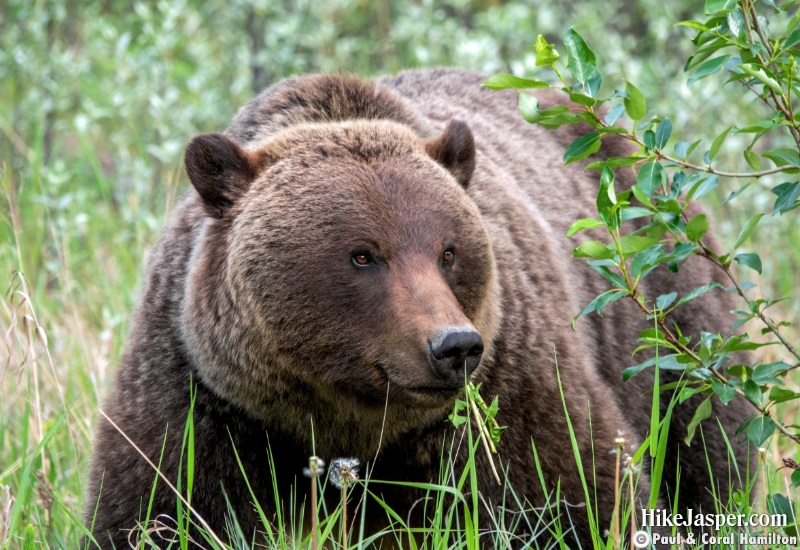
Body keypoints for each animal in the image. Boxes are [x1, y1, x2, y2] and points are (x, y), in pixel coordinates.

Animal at [87, 71, 752, 548]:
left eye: (448, 250)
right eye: (362, 255)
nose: (453, 345)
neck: (343, 424)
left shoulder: (507, 389)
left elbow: (579, 493)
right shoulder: (203, 397)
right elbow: (155, 510)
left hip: (662, 303)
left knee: (707, 442)